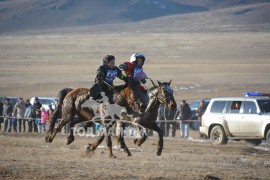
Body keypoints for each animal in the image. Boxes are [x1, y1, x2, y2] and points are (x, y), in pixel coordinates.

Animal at [46, 80, 177, 156]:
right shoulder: (134, 122)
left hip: (84, 116)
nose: (173, 105)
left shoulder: (149, 123)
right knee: (59, 125)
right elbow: (141, 136)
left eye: (172, 91)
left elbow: (160, 132)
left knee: (73, 123)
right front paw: (136, 142)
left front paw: (159, 150)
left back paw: (71, 139)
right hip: (68, 114)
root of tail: (71, 91)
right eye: (164, 91)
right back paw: (49, 138)